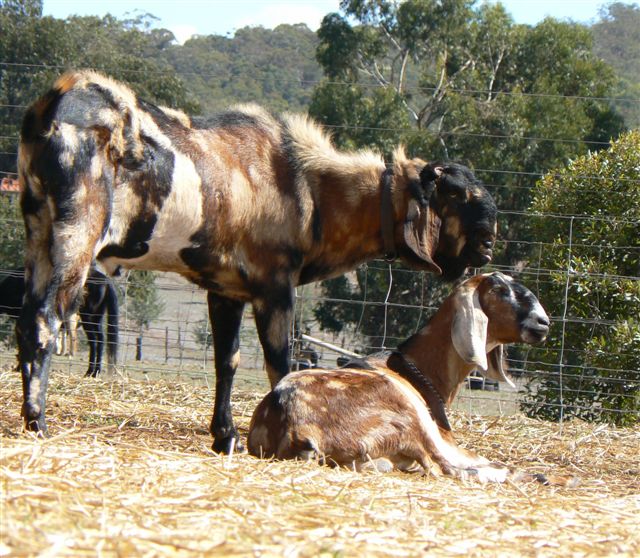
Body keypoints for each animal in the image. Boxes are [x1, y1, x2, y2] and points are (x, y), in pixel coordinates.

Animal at [13, 71, 496, 456]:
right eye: (456, 194)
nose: (490, 240)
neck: (307, 187)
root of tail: (54, 103)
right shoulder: (275, 286)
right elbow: (280, 364)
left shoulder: (225, 290)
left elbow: (227, 361)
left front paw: (225, 437)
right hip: (75, 233)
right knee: (45, 321)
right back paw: (38, 423)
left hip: (38, 234)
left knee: (26, 322)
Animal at [248, 272, 572, 486]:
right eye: (502, 289)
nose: (543, 323)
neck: (417, 368)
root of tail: (294, 426)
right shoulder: (443, 436)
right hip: (409, 416)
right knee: (444, 468)